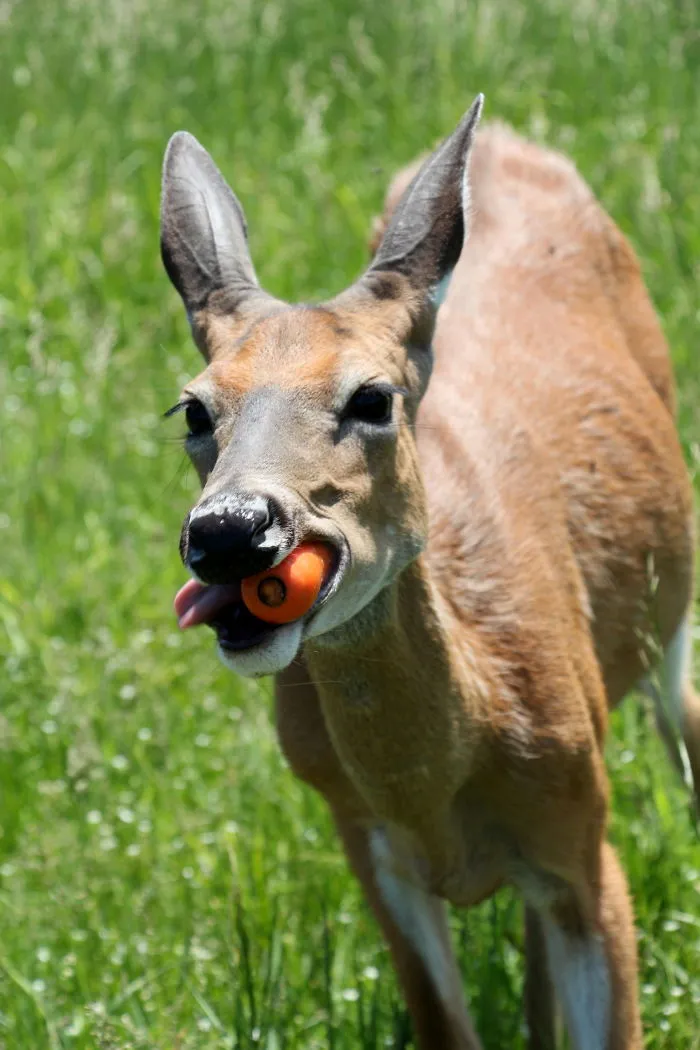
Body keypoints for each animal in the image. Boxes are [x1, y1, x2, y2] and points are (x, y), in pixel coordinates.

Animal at [160, 96, 700, 1049]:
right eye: (194, 408)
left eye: (372, 398)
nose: (229, 531)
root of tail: (515, 143)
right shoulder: (365, 839)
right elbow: (446, 1022)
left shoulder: (586, 841)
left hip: (667, 622)